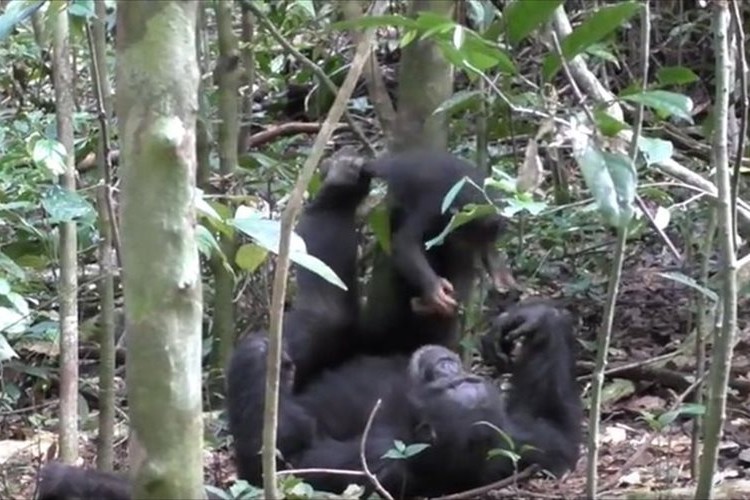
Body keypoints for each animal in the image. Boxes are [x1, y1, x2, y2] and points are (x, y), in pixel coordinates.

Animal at [360, 148, 516, 356]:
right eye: (462, 235)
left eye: (484, 240)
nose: (464, 242)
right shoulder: (435, 206)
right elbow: (406, 242)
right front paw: (435, 290)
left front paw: (503, 278)